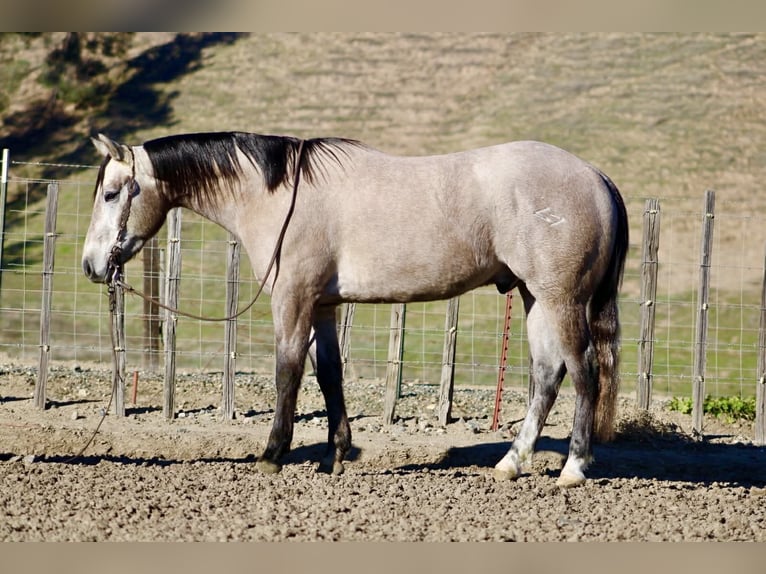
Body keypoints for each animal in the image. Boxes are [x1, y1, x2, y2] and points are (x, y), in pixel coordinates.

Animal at [82, 131, 628, 487]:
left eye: (110, 193)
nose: (91, 265)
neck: (279, 196)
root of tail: (596, 177)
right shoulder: (322, 305)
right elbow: (329, 375)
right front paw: (336, 454)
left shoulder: (293, 299)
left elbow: (287, 372)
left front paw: (273, 454)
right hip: (536, 299)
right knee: (547, 374)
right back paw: (512, 462)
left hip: (562, 301)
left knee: (584, 373)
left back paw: (573, 468)